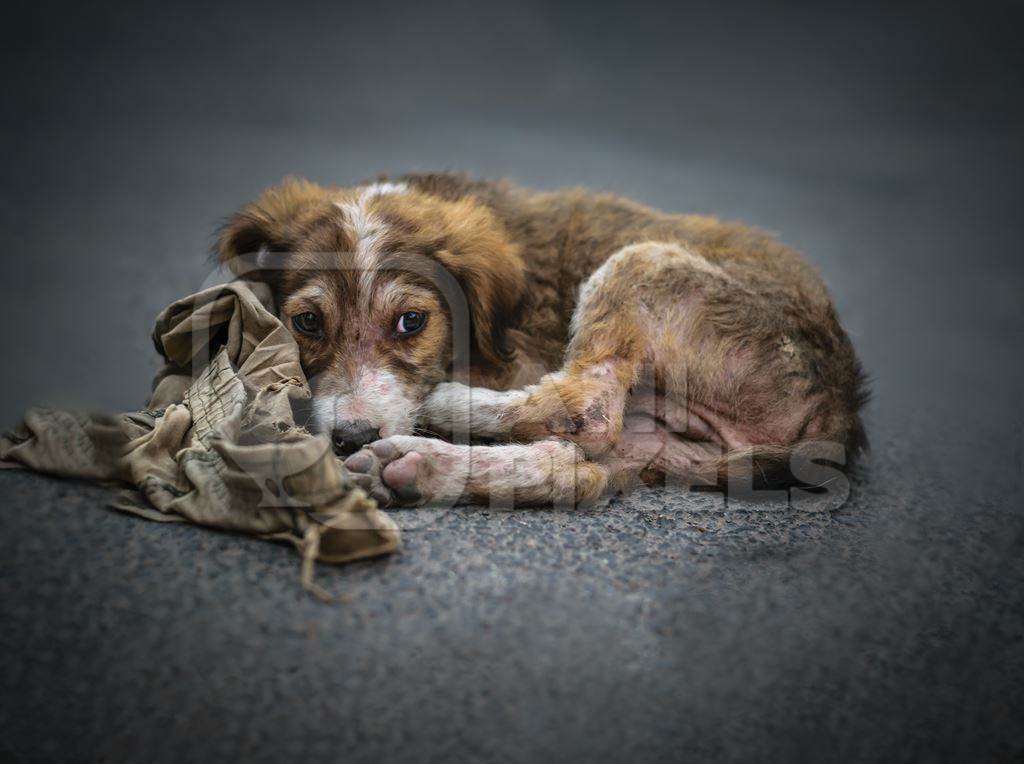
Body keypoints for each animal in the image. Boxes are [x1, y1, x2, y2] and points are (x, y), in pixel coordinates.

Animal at [218, 173, 864, 505]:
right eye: (307, 323)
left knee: (589, 409)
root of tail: (839, 407)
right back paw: (418, 466)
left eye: (411, 322)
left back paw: (448, 411)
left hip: (642, 262)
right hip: (663, 441)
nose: (351, 437)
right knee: (577, 467)